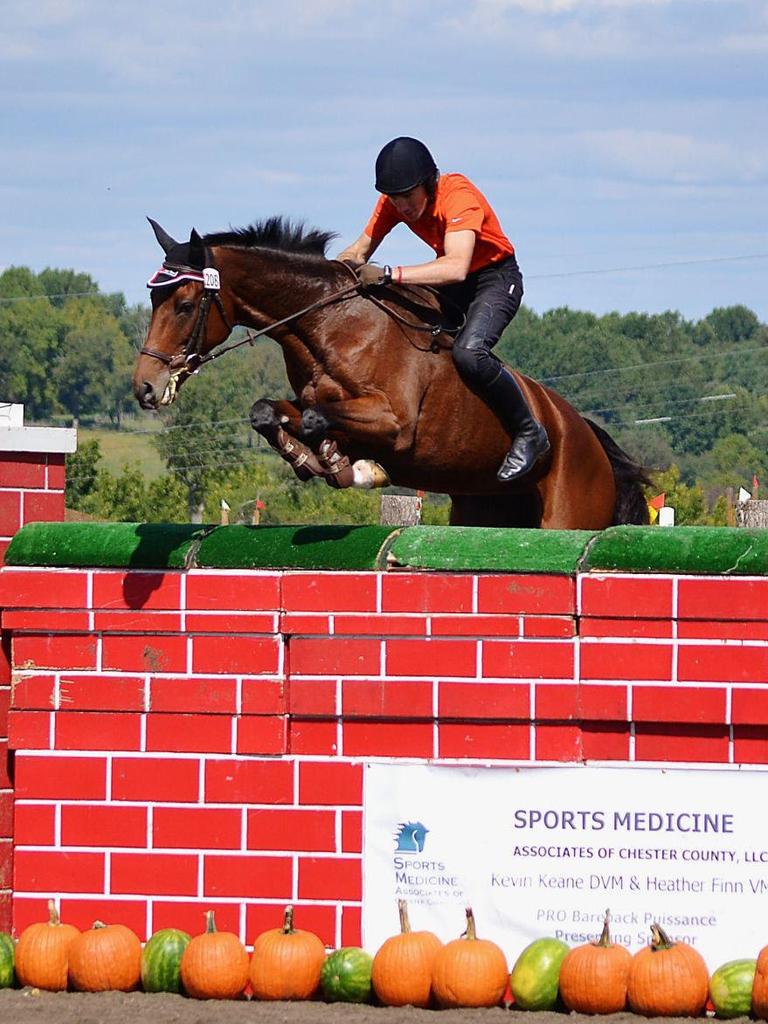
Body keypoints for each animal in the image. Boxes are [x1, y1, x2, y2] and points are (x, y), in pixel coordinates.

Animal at [132, 221, 651, 532]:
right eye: (154, 299)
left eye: (183, 305)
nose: (145, 387)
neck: (329, 326)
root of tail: (586, 434)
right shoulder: (311, 400)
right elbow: (268, 412)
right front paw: (315, 461)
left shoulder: (394, 423)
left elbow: (319, 420)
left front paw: (349, 465)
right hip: (482, 509)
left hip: (567, 512)